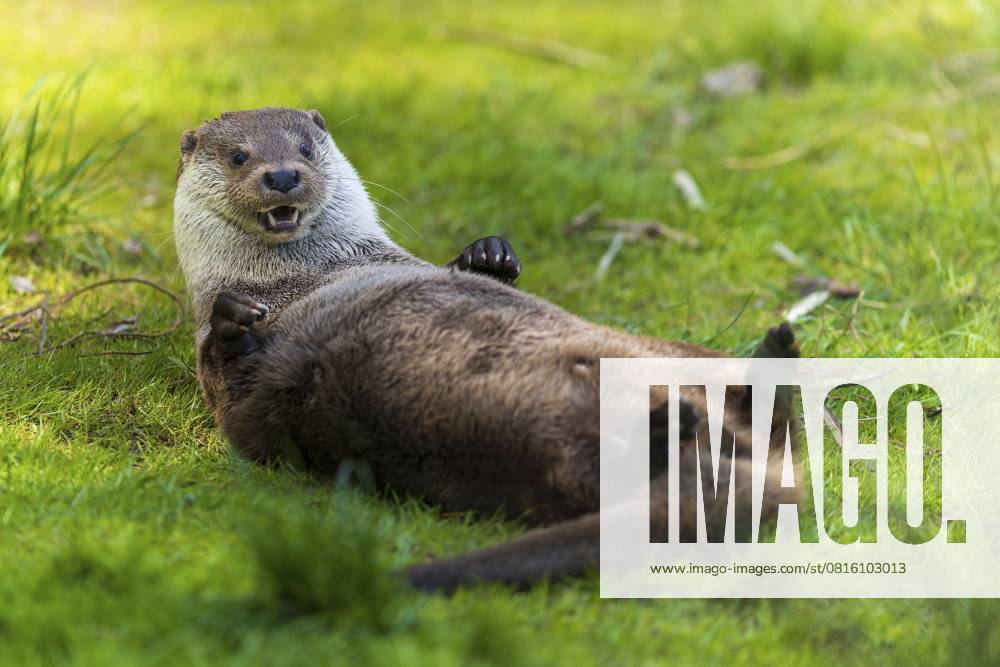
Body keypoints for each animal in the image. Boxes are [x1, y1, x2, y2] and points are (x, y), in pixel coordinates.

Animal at [174, 107, 800, 592]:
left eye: (304, 147)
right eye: (239, 157)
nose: (282, 174)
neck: (311, 273)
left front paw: (489, 253)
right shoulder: (242, 401)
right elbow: (241, 406)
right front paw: (234, 318)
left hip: (681, 353)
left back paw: (768, 358)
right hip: (540, 446)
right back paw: (677, 419)